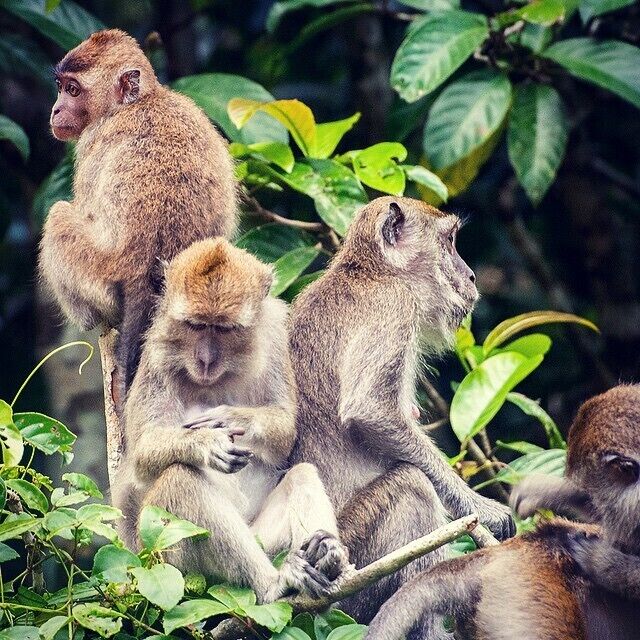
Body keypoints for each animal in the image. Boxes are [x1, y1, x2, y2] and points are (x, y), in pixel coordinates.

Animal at [39, 29, 237, 395]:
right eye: (60, 87)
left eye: (72, 90)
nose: (56, 109)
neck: (138, 102)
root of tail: (141, 274)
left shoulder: (92, 144)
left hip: (97, 277)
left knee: (58, 215)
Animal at [111, 238, 350, 603]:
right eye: (196, 325)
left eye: (224, 328)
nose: (205, 360)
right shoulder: (156, 352)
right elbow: (142, 454)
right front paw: (207, 444)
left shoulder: (274, 332)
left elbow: (285, 432)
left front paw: (233, 418)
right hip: (164, 556)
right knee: (179, 480)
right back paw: (272, 584)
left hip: (263, 537)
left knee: (302, 475)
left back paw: (327, 556)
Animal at [287, 196, 514, 635]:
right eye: (449, 241)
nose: (471, 275)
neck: (371, 271)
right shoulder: (395, 308)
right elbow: (370, 412)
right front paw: (484, 509)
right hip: (354, 560)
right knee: (412, 486)